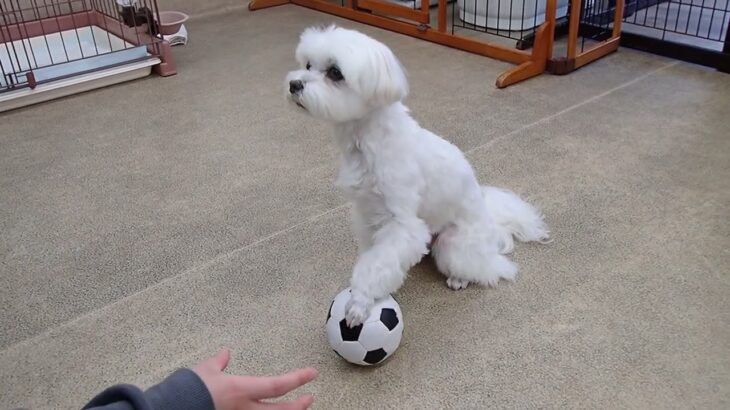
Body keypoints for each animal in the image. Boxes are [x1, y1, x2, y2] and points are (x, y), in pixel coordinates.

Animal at [282, 24, 544, 326]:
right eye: (307, 65)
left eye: (335, 72)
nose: (294, 84)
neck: (367, 141)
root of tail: (491, 221)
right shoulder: (367, 213)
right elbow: (373, 256)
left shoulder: (402, 223)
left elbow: (377, 263)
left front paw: (360, 301)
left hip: (452, 244)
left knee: (491, 269)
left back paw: (461, 277)